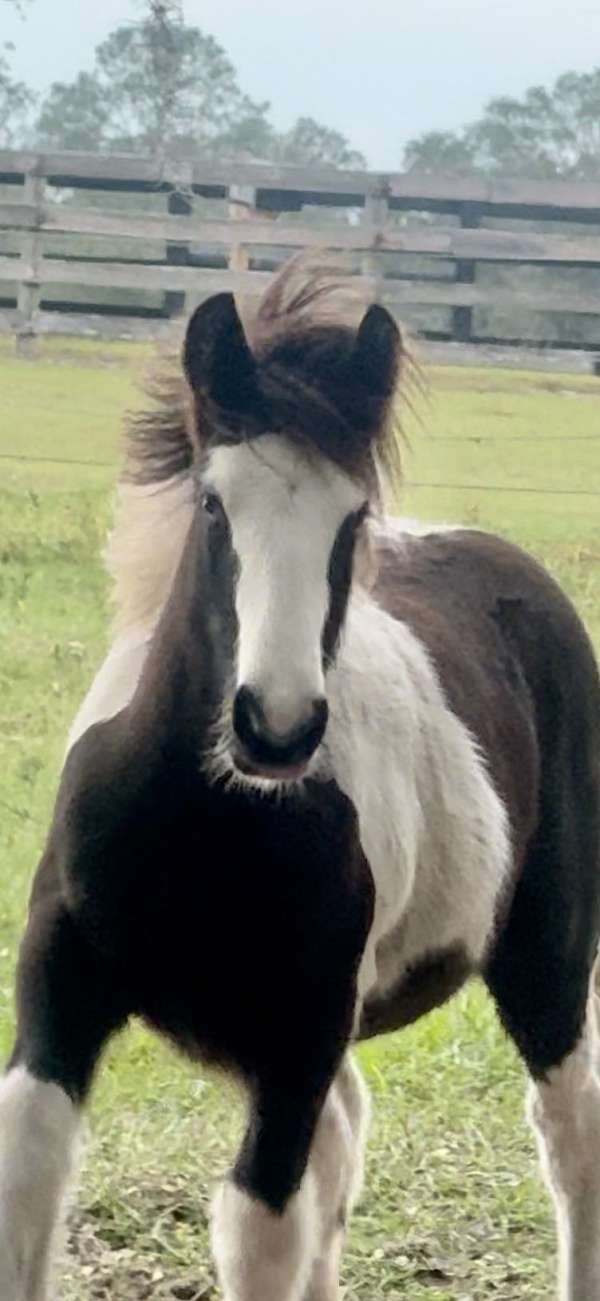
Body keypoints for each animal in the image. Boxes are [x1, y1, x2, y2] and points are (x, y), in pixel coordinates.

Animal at [1, 256, 598, 1301]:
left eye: (350, 517)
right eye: (213, 503)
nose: (274, 725)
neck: (202, 832)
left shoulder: (297, 1034)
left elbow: (257, 1231)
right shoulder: (57, 987)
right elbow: (30, 1183)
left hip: (546, 954)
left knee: (570, 1140)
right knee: (346, 1139)